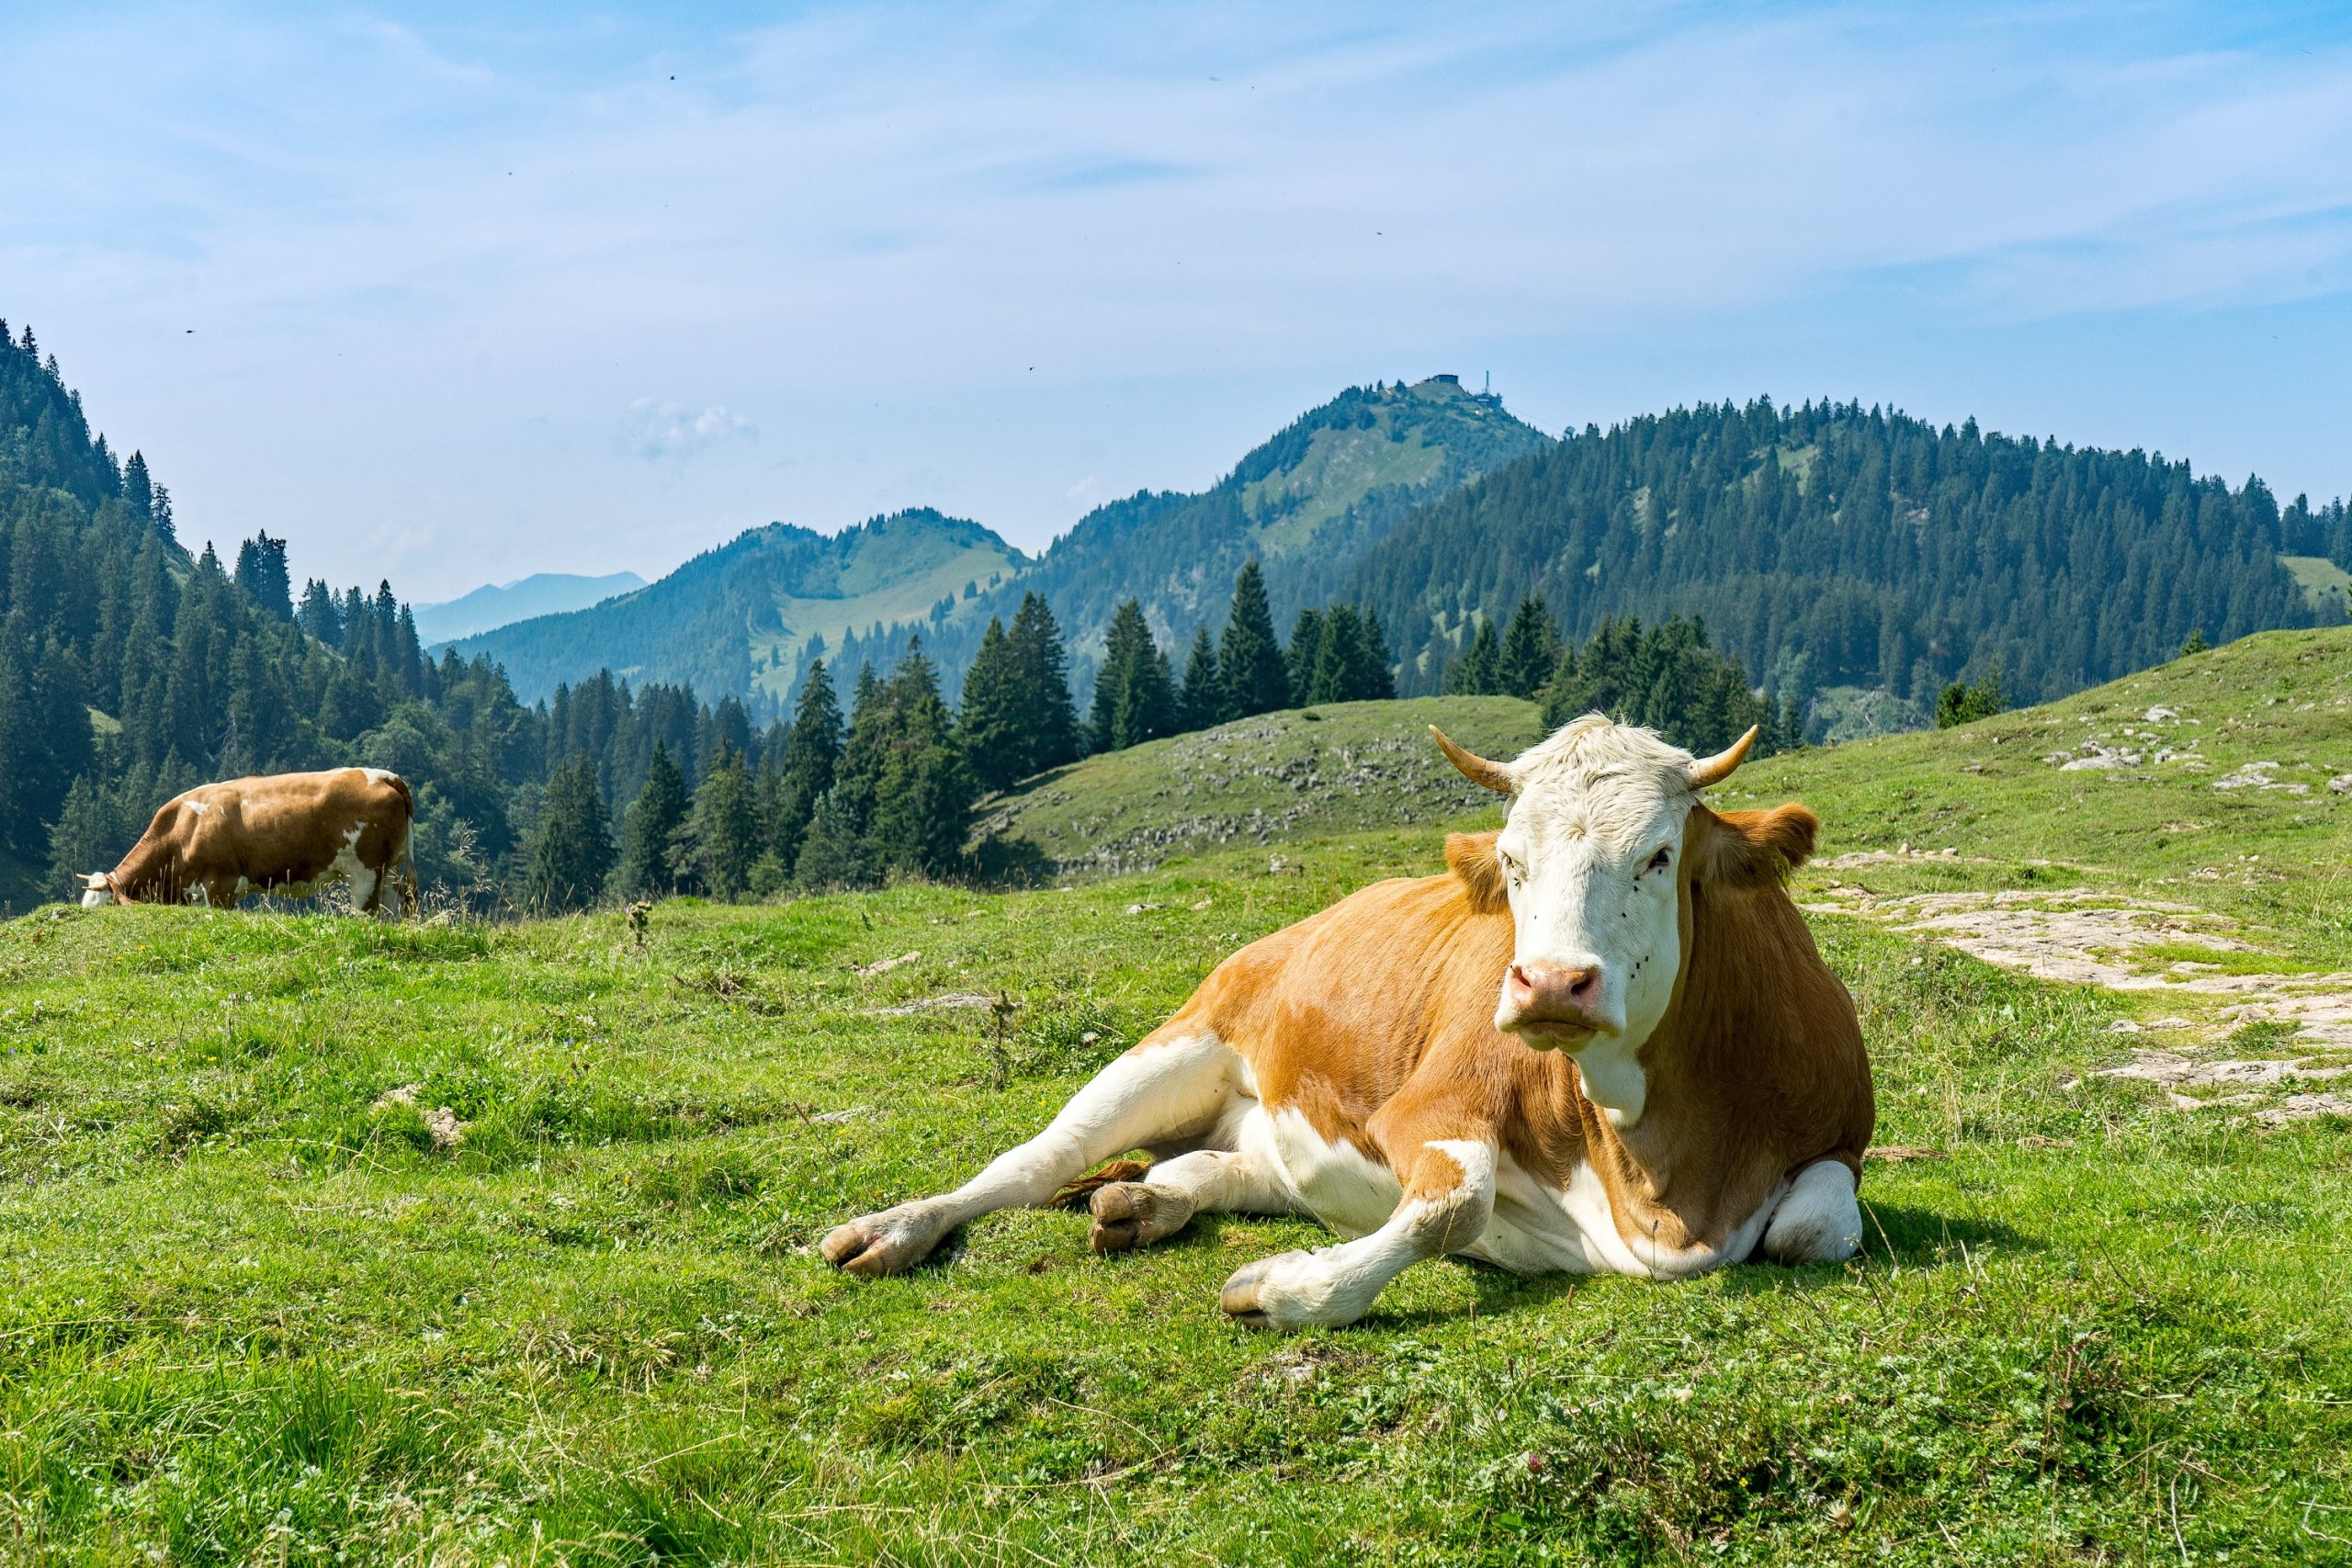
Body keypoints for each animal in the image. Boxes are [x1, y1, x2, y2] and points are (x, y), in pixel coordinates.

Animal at [81, 761, 423, 911]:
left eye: (104, 907)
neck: (181, 832)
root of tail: (384, 775)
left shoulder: (220, 885)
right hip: (390, 870)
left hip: (365, 872)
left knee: (368, 913)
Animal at [828, 719, 1871, 1335]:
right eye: (1511, 859)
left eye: (1658, 855)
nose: (1549, 984)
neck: (1661, 1181)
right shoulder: (1426, 1105)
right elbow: (1457, 1204)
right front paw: (1288, 1289)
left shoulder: (1840, 1139)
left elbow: (1810, 1226)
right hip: (1179, 1041)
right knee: (1031, 1163)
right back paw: (894, 1228)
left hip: (1267, 1132)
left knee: (1214, 1166)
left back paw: (1142, 1203)